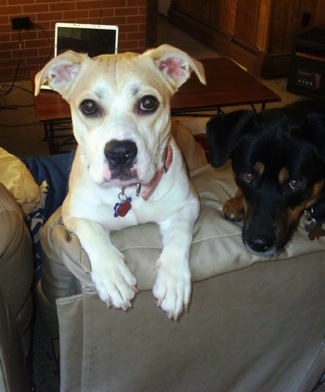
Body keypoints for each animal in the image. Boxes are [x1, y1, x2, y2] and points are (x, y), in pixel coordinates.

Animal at [34, 45, 205, 318]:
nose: (120, 153)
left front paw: (173, 281)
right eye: (89, 106)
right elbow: (93, 233)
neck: (128, 192)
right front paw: (113, 276)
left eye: (148, 103)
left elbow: (180, 233)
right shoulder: (72, 214)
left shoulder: (188, 203)